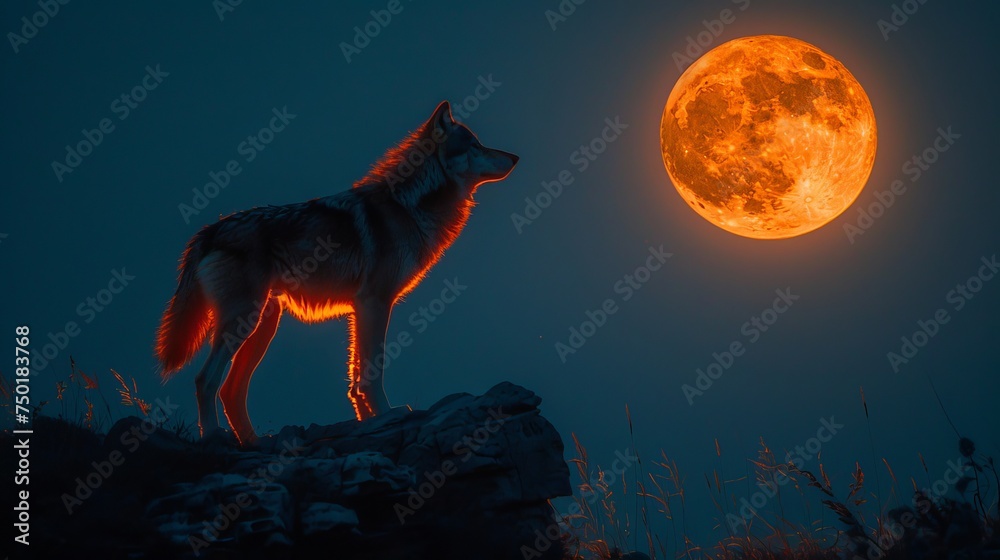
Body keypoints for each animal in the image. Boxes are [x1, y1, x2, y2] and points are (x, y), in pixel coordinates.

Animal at [155, 101, 518, 444]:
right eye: (476, 145)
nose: (515, 157)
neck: (409, 205)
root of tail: (210, 230)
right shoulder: (376, 302)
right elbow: (373, 370)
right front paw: (388, 413)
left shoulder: (361, 308)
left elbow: (357, 374)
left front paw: (368, 419)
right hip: (243, 321)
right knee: (206, 380)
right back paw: (214, 435)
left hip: (262, 325)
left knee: (231, 390)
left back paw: (254, 441)